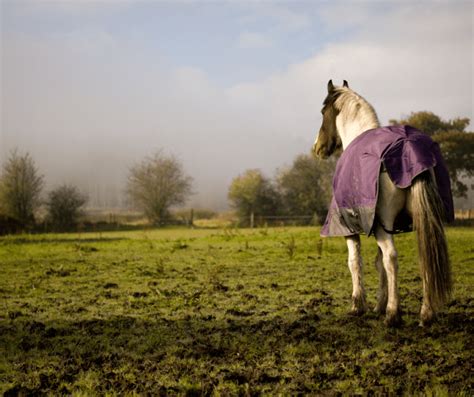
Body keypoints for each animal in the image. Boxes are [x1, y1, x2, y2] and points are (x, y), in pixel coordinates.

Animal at [312, 79, 454, 326]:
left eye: (323, 112)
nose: (317, 148)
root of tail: (409, 147)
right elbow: (378, 264)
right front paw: (378, 304)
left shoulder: (351, 227)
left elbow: (355, 262)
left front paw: (358, 305)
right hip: (420, 221)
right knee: (426, 257)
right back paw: (426, 314)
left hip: (383, 224)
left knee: (391, 258)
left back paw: (393, 314)